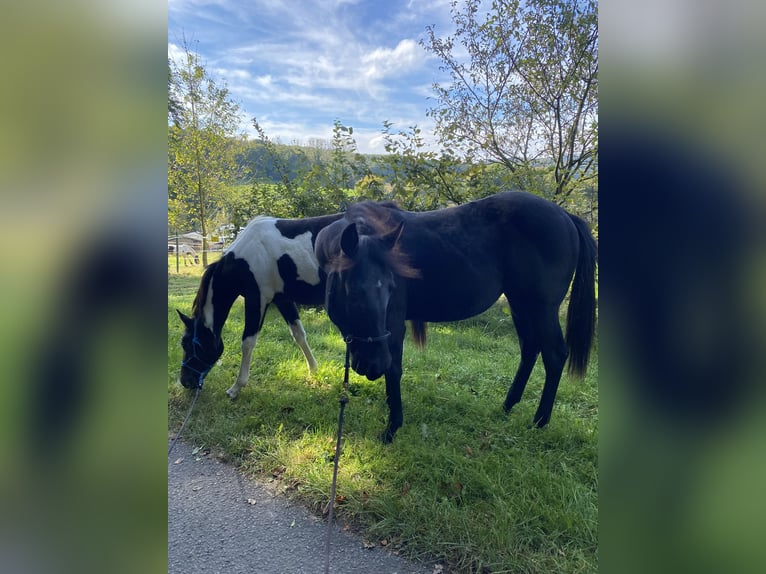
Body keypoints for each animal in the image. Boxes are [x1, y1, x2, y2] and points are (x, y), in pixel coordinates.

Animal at [179, 214, 342, 398]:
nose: (186, 382)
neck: (246, 258)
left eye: (189, 344)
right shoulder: (283, 300)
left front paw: (236, 388)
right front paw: (313, 370)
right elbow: (299, 334)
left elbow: (248, 342)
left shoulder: (257, 300)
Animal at [316, 191, 596, 444]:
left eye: (391, 287)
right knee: (529, 349)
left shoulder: (394, 325)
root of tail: (566, 216)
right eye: (353, 291)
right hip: (521, 304)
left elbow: (395, 371)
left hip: (542, 308)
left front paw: (391, 429)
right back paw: (506, 407)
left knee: (554, 355)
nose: (374, 365)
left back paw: (539, 421)